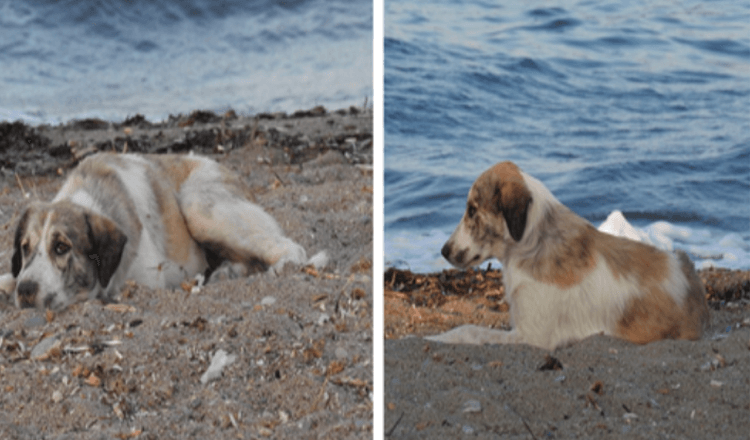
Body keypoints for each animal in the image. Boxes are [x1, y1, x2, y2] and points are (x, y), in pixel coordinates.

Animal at [1, 153, 328, 312]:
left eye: (61, 247)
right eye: (25, 248)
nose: (26, 290)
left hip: (200, 207)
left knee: (290, 248)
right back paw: (226, 272)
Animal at [428, 162, 712, 350]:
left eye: (472, 210)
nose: (443, 250)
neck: (533, 242)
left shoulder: (532, 337)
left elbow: (467, 330)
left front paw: (432, 338)